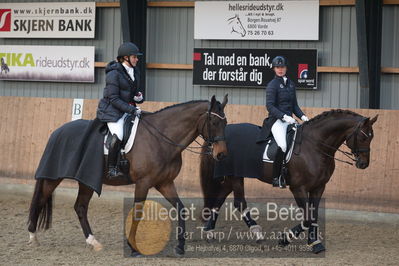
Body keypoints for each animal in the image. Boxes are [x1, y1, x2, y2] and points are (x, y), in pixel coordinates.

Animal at [27, 95, 228, 256]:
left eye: (225, 124)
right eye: (214, 122)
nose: (221, 155)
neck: (161, 138)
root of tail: (57, 131)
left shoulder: (165, 183)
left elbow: (181, 209)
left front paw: (180, 246)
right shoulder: (143, 182)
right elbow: (137, 213)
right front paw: (133, 247)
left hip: (86, 180)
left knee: (80, 207)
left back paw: (93, 242)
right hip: (53, 178)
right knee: (40, 200)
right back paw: (32, 237)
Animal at [200, 108, 378, 254]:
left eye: (372, 137)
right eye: (363, 137)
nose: (363, 164)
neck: (314, 146)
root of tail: (221, 136)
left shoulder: (318, 187)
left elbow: (313, 215)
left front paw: (315, 243)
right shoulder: (298, 187)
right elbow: (307, 217)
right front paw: (285, 238)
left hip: (234, 175)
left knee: (221, 198)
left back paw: (209, 232)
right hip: (235, 175)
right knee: (239, 203)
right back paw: (256, 233)